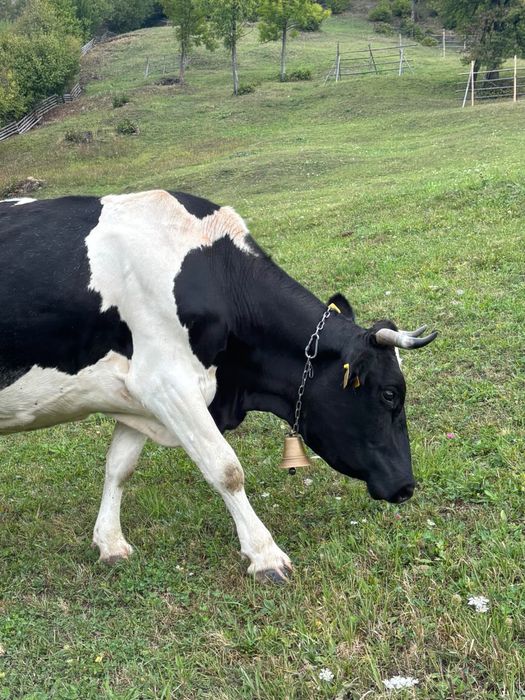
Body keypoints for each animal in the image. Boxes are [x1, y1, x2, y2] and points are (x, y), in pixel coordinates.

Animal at [0, 190, 437, 582]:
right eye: (389, 394)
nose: (406, 486)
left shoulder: (138, 390)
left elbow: (119, 467)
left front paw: (110, 543)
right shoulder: (168, 383)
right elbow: (226, 469)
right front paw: (265, 556)